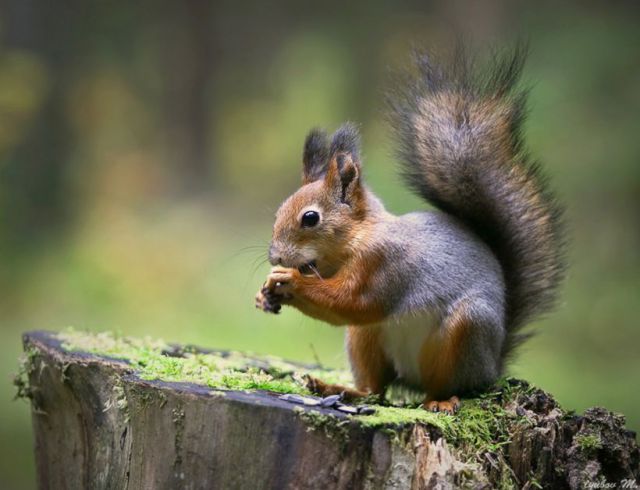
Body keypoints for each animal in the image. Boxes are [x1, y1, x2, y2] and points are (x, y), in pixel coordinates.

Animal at [255, 46, 564, 414]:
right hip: (365, 338)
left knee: (446, 384)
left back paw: (440, 401)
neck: (357, 238)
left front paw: (290, 281)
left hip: (466, 331)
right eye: (279, 210)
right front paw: (265, 293)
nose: (275, 257)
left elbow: (352, 302)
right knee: (376, 388)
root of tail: (493, 365)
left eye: (310, 218)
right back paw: (338, 388)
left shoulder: (385, 264)